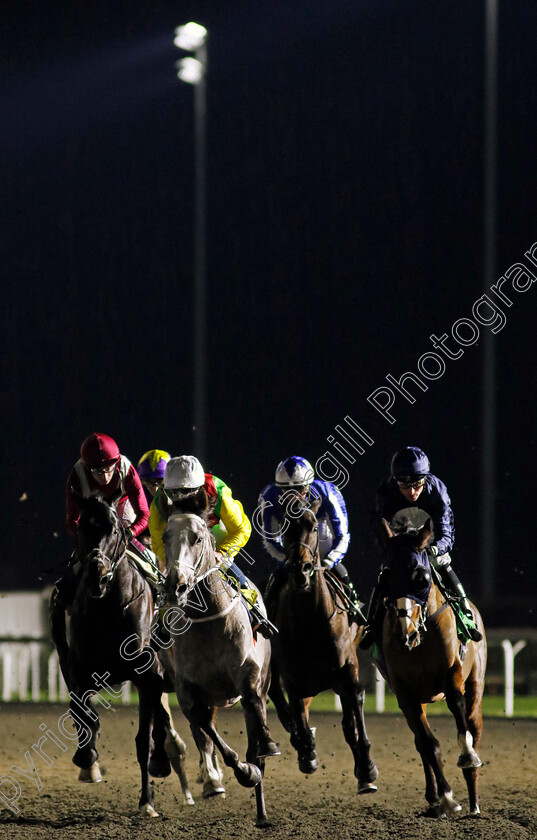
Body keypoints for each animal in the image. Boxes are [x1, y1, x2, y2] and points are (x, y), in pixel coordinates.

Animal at [49, 496, 194, 816]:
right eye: (81, 526)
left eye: (114, 530)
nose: (97, 576)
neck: (107, 608)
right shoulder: (78, 669)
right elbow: (81, 711)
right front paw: (86, 756)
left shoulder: (146, 675)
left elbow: (143, 740)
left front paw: (147, 801)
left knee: (160, 724)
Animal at [266, 498, 376, 796]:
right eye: (284, 527)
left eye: (314, 526)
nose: (300, 569)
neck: (311, 619)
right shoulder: (293, 677)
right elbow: (297, 716)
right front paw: (307, 751)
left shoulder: (347, 668)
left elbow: (356, 705)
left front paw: (366, 768)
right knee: (283, 702)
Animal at [376, 520, 486, 816]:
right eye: (385, 577)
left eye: (422, 578)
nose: (405, 634)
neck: (421, 641)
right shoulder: (405, 694)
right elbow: (428, 744)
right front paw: (445, 797)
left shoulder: (452, 677)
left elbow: (461, 723)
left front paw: (467, 756)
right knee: (420, 741)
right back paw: (435, 798)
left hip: (476, 686)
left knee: (474, 725)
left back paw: (474, 802)